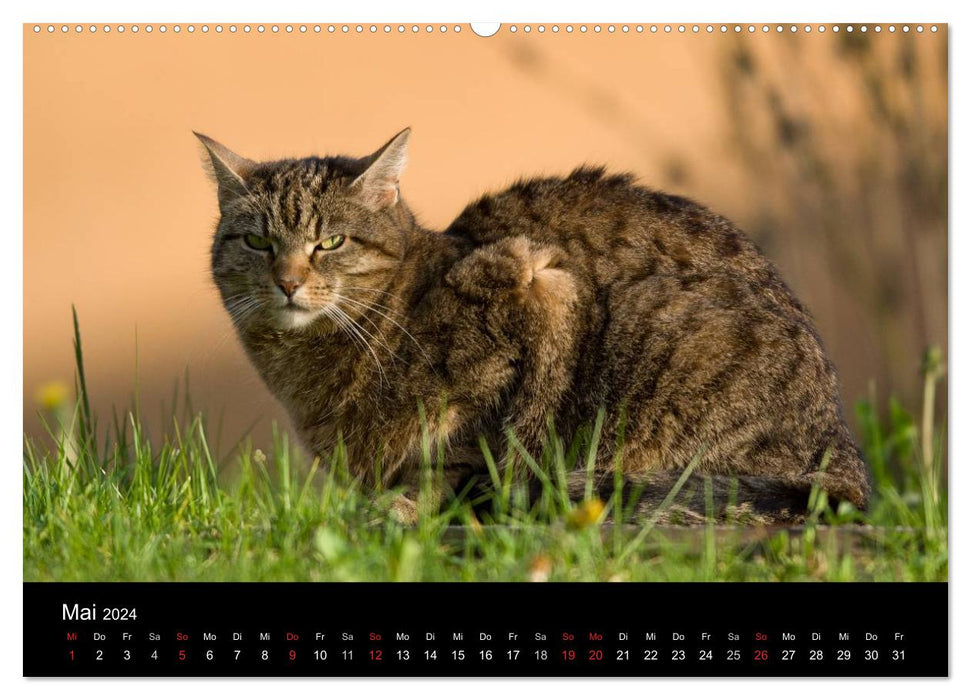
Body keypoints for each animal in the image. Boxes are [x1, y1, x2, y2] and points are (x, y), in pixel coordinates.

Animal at [199, 129, 872, 524]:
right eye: (258, 243)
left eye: (330, 242)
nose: (287, 280)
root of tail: (843, 453)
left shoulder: (541, 288)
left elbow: (466, 451)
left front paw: (404, 508)